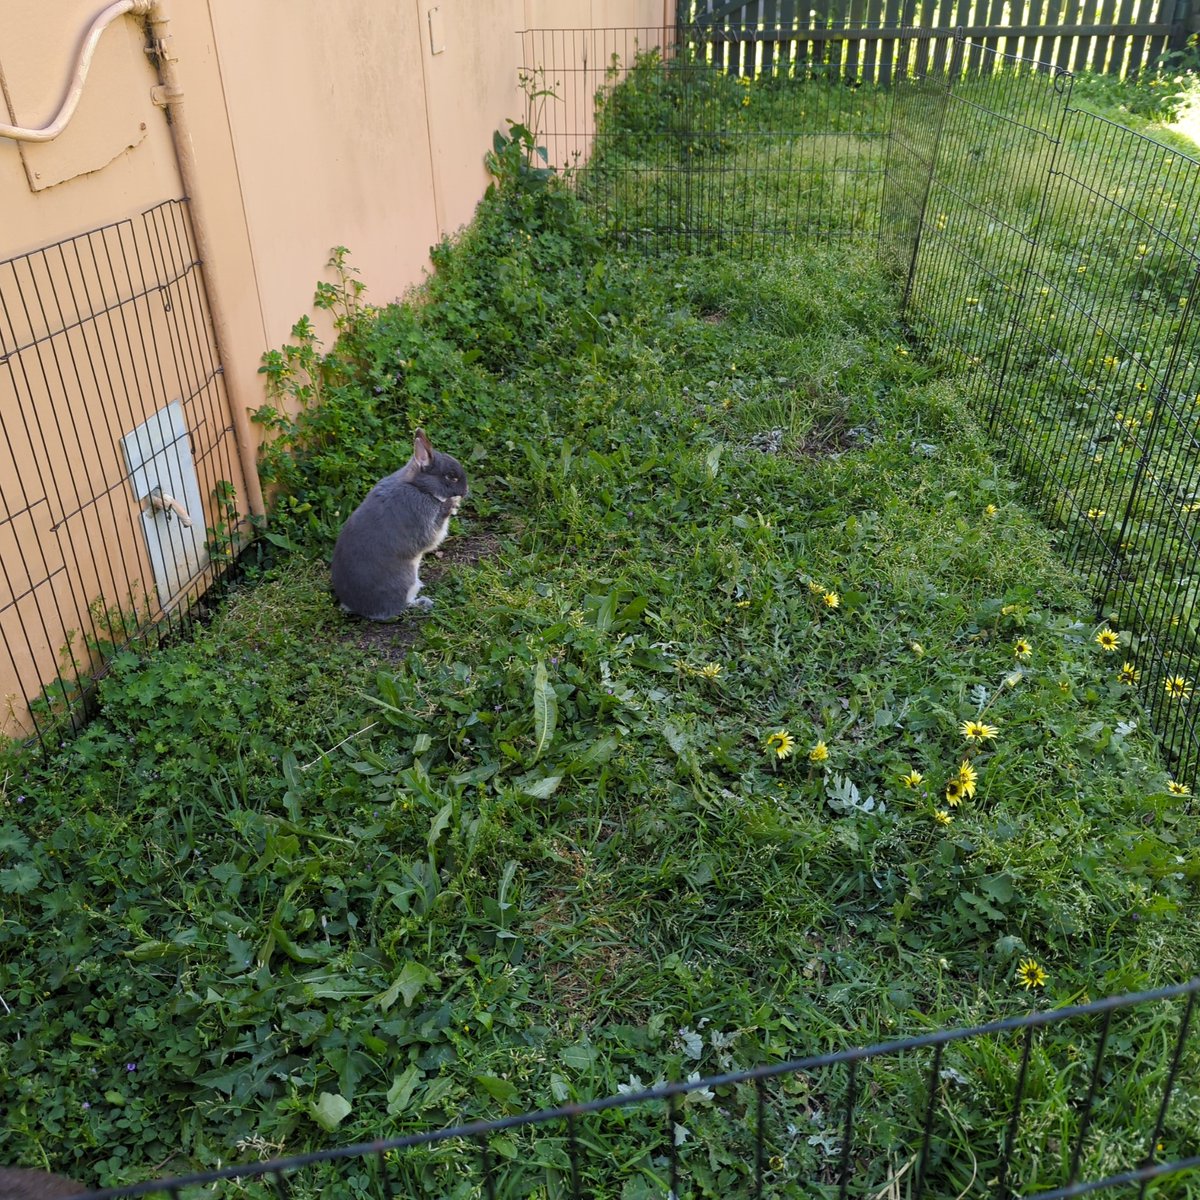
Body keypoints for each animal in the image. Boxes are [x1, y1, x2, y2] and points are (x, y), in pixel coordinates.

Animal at [330, 429, 468, 620]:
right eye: (450, 477)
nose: (465, 491)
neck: (418, 487)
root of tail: (355, 606)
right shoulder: (424, 522)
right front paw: (452, 503)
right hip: (406, 579)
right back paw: (424, 603)